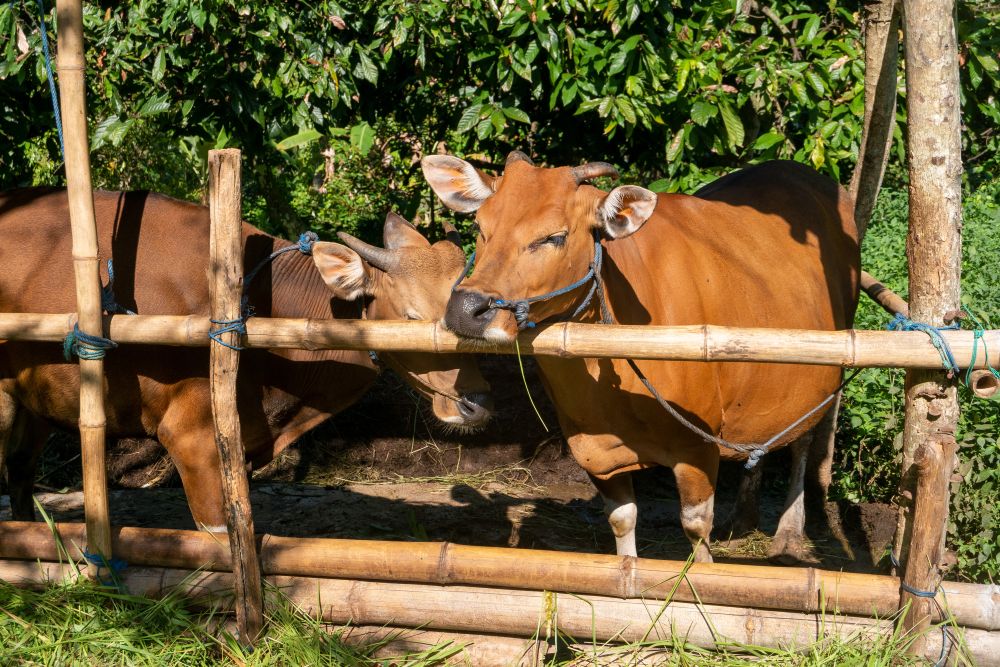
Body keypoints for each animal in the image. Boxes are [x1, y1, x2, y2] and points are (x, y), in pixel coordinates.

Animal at [422, 152, 859, 562]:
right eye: (480, 228)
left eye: (554, 237)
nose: (467, 310)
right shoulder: (597, 453)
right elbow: (622, 524)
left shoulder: (697, 448)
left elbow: (696, 530)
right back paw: (743, 517)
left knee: (805, 439)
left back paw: (788, 533)